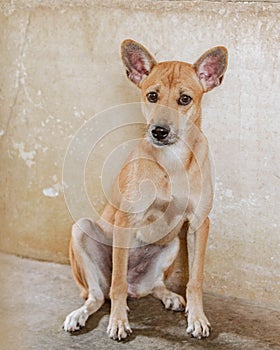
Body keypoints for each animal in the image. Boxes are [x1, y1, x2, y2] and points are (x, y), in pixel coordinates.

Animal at [63, 39, 228, 340]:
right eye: (152, 96)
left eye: (184, 99)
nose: (159, 131)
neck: (172, 160)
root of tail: (135, 286)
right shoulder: (126, 221)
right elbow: (116, 284)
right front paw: (118, 322)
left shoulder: (199, 224)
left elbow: (195, 280)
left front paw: (197, 318)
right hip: (82, 232)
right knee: (100, 295)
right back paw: (80, 315)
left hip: (172, 243)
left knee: (152, 287)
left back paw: (169, 296)